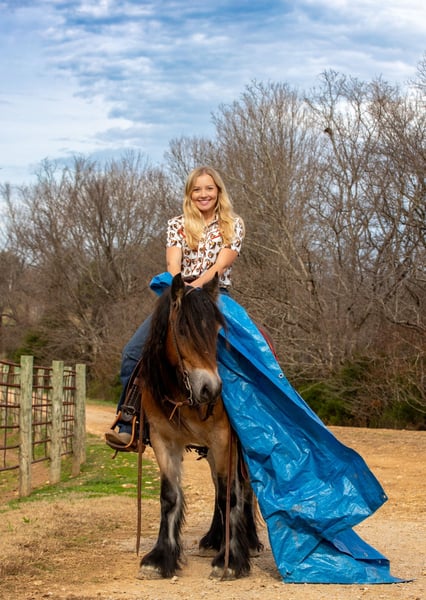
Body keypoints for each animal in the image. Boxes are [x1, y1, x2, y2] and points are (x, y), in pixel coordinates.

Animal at [137, 273, 262, 580]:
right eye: (182, 331)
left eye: (217, 332)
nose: (211, 389)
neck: (182, 394)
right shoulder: (163, 439)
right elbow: (169, 496)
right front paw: (159, 559)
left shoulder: (224, 439)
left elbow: (231, 494)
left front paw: (230, 561)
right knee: (218, 487)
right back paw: (212, 540)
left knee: (242, 488)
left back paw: (250, 542)